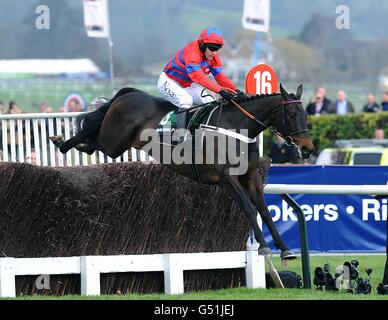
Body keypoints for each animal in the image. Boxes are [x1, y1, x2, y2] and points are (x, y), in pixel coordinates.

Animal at [50, 84, 314, 258]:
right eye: (291, 114)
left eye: (305, 113)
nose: (308, 148)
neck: (236, 127)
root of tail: (131, 94)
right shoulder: (226, 178)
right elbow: (249, 208)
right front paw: (264, 246)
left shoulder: (251, 175)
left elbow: (264, 210)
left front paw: (284, 249)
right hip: (113, 141)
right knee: (90, 137)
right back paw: (61, 142)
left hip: (118, 144)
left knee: (91, 142)